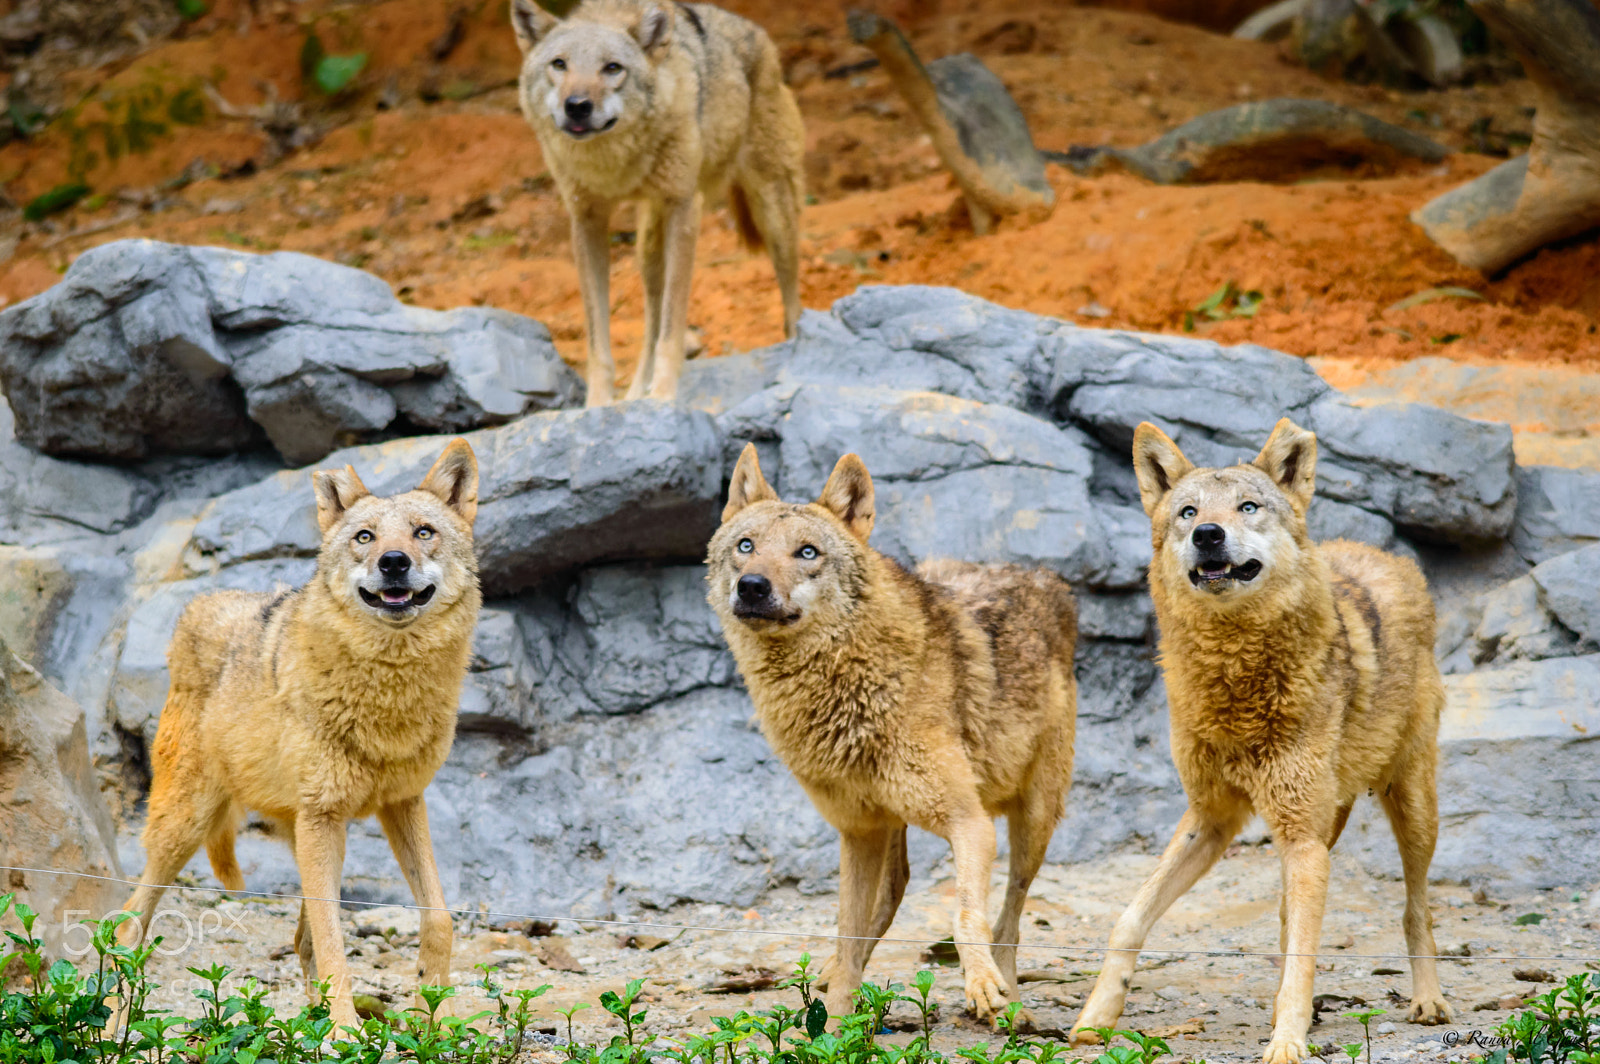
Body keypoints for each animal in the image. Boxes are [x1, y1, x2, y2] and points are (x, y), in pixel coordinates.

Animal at [114, 440, 483, 1033]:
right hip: (187, 830)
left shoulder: (403, 803)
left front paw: (436, 1018)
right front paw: (345, 1036)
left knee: (299, 939)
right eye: (365, 537)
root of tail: (197, 607)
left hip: (315, 835)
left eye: (423, 531)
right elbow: (336, 946)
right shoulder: (324, 817)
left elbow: (440, 918)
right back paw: (112, 1032)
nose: (393, 562)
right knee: (128, 928)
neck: (387, 697)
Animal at [511, 0, 804, 405]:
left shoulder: (684, 207)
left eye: (612, 68)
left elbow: (672, 326)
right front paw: (598, 405)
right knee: (650, 319)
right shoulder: (585, 222)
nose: (577, 106)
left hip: (773, 215)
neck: (614, 164)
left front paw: (664, 396)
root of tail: (755, 31)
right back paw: (636, 393)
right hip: (648, 246)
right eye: (559, 64)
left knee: (792, 301)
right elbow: (598, 339)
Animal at [706, 444, 1079, 1023]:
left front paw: (981, 985)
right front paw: (836, 1025)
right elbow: (848, 935)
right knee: (894, 893)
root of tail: (1045, 578)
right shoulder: (857, 830)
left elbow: (965, 915)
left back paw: (1011, 1002)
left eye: (807, 552)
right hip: (893, 825)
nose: (752, 586)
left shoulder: (970, 822)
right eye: (746, 546)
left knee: (1010, 917)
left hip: (1034, 821)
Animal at [1070, 419, 1451, 1062]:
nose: (1208, 534)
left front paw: (1287, 1043)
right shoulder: (1212, 818)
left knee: (1416, 907)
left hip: (1409, 809)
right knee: (1283, 915)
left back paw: (1427, 1000)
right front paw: (1096, 1017)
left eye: (1247, 506)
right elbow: (1130, 917)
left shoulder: (1300, 840)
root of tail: (1384, 554)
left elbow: (1306, 951)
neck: (1236, 681)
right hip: (1319, 825)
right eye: (1188, 511)